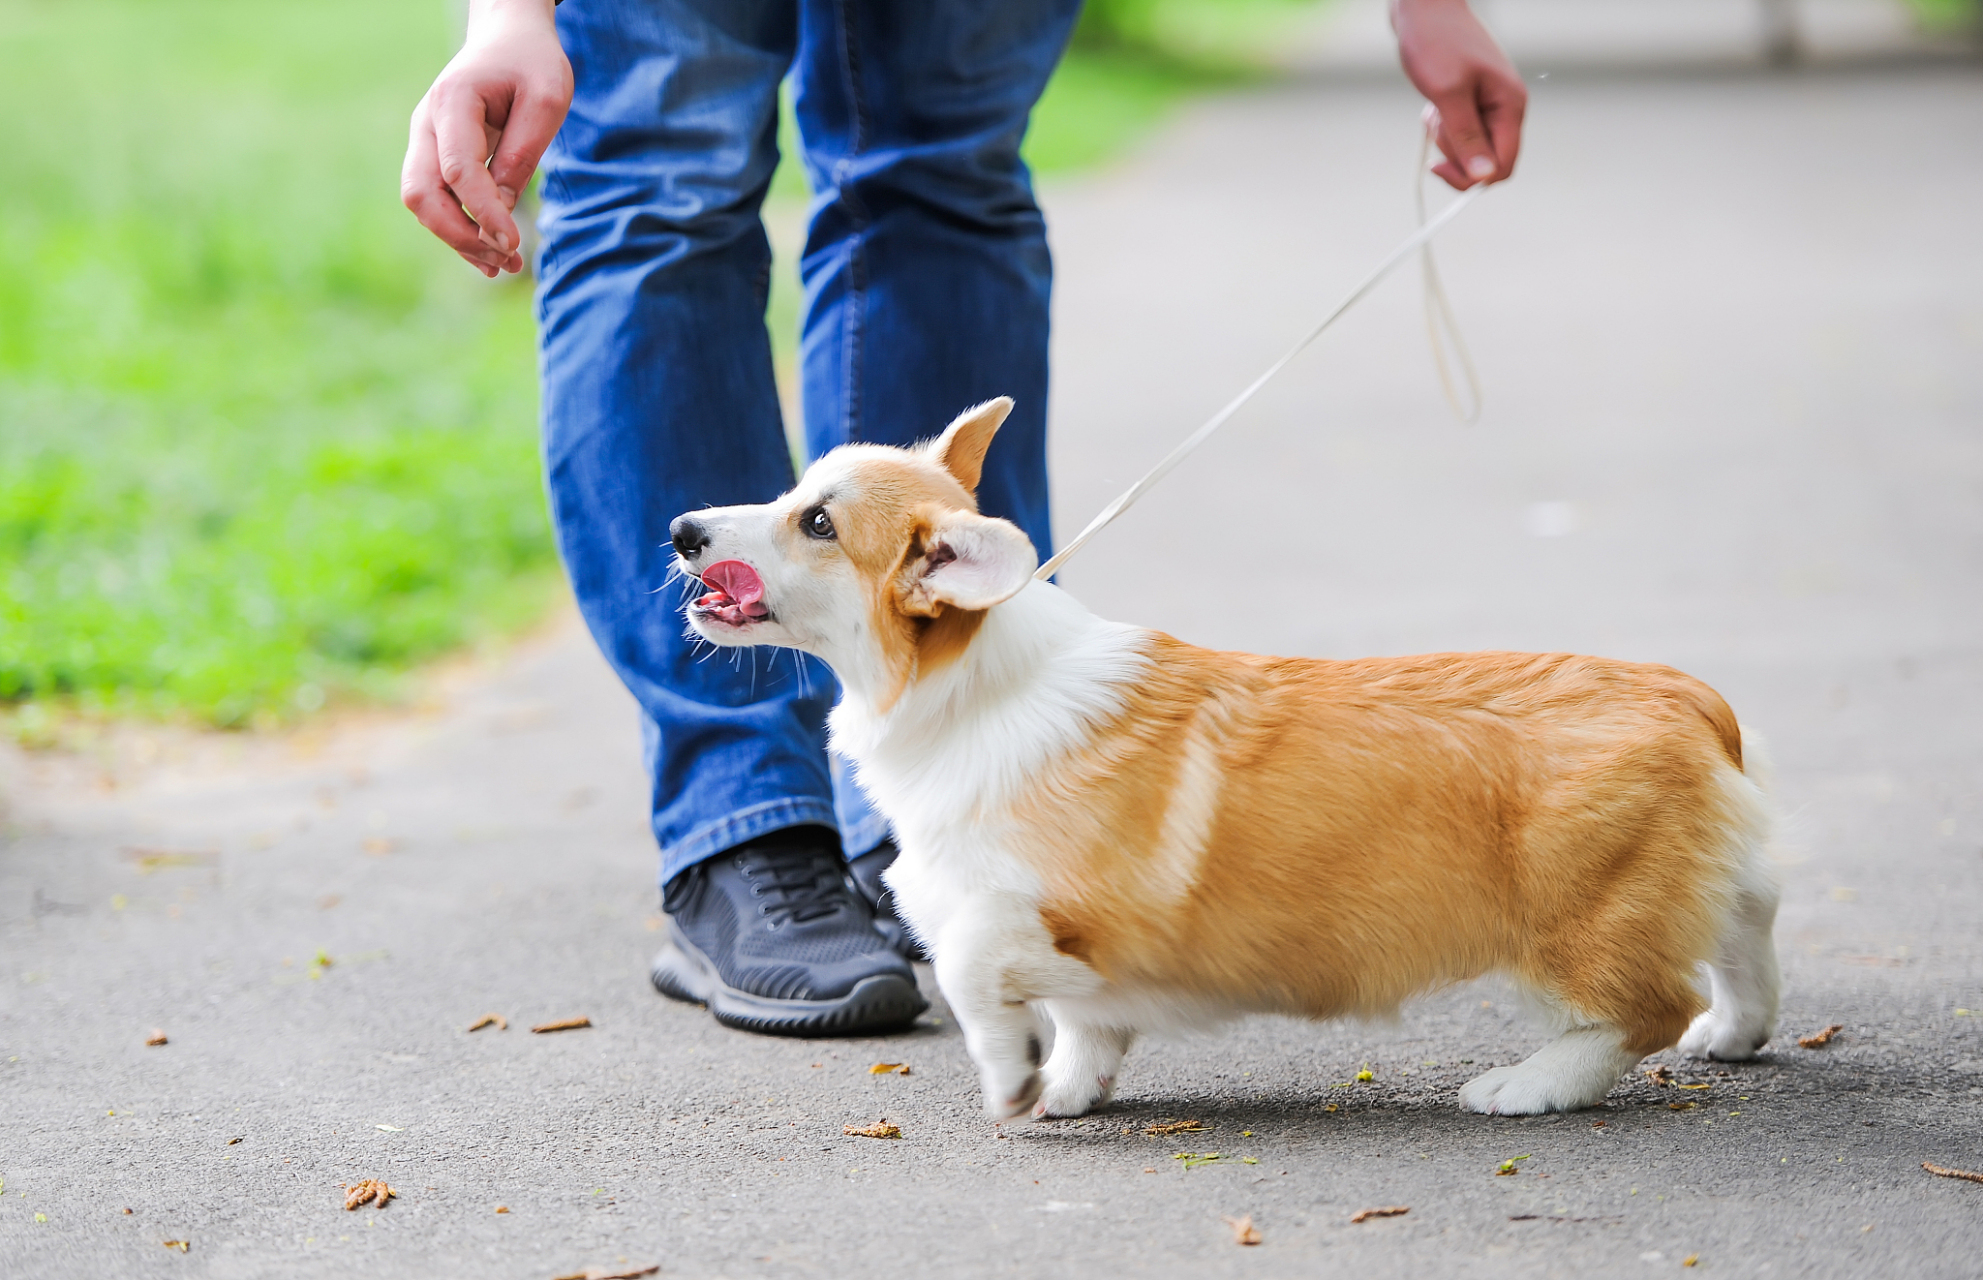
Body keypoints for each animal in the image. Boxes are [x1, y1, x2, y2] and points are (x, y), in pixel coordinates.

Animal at [674, 396, 1792, 1119]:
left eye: (818, 521)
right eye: (794, 491)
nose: (682, 526)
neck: (965, 691)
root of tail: (1688, 698)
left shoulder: (1065, 914)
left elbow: (972, 961)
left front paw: (1016, 1078)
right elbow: (1081, 1022)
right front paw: (1070, 1087)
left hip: (1566, 917)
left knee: (1645, 1006)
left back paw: (1528, 1086)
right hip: (1695, 885)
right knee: (1745, 928)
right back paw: (1734, 1030)